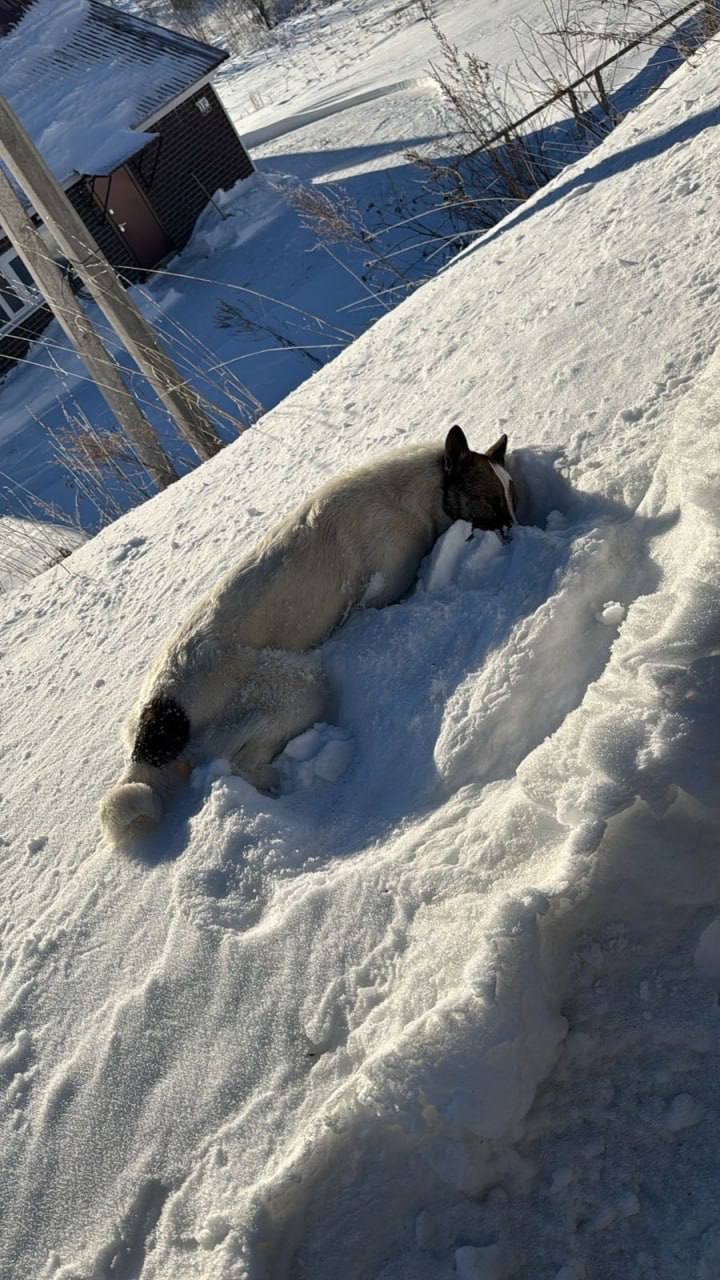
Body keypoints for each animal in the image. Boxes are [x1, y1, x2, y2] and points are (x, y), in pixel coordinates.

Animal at [102, 427, 515, 849]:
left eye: (511, 498)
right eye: (490, 500)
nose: (513, 535)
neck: (420, 492)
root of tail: (159, 716)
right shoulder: (382, 591)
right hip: (300, 688)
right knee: (240, 762)